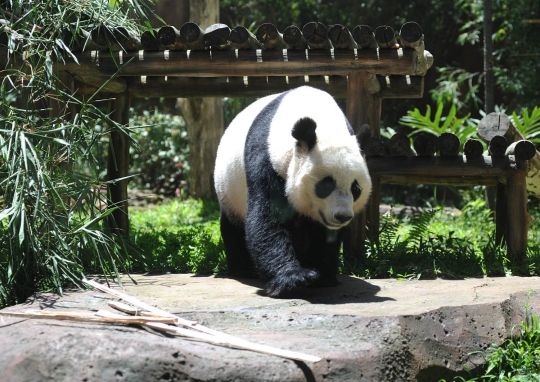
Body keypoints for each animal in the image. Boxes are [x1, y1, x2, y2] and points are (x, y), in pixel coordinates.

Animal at [214, 86, 372, 296]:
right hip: (230, 191)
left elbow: (326, 235)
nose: (342, 216)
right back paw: (244, 269)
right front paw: (294, 278)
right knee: (234, 226)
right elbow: (268, 219)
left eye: (356, 188)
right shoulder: (267, 159)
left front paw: (323, 276)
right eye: (326, 185)